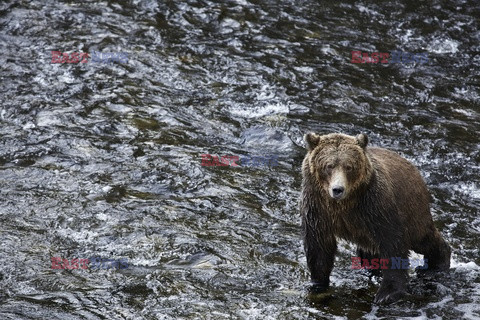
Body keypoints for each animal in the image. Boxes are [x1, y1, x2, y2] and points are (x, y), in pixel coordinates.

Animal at [302, 131, 452, 304]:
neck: (344, 205)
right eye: (328, 166)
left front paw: (387, 293)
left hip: (412, 210)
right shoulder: (318, 209)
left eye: (349, 166)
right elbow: (319, 246)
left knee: (423, 238)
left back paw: (436, 264)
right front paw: (318, 284)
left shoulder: (375, 206)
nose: (338, 189)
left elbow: (393, 243)